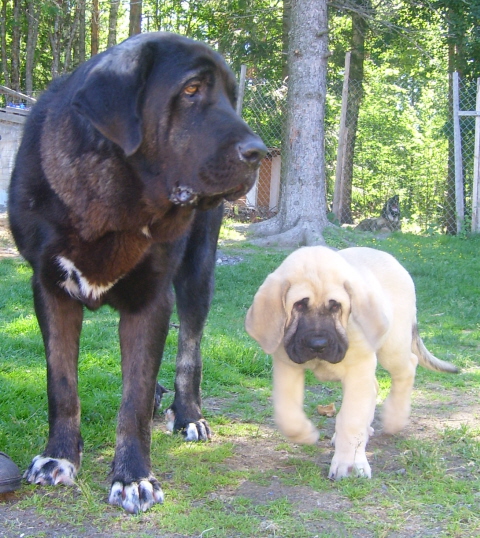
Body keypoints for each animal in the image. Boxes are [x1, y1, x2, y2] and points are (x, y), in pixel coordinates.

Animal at [8, 32, 266, 510]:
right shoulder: (50, 290)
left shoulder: (152, 300)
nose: (259, 152)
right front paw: (58, 457)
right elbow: (62, 383)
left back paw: (188, 415)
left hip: (197, 274)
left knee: (189, 353)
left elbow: (135, 398)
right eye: (191, 89)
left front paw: (133, 477)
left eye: (231, 98)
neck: (114, 195)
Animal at [246, 247, 460, 478]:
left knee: (408, 367)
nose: (318, 344)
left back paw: (394, 418)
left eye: (335, 306)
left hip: (393, 346)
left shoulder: (358, 371)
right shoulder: (288, 366)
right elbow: (288, 414)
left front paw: (347, 463)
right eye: (299, 305)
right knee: (375, 387)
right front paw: (305, 434)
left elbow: (350, 419)